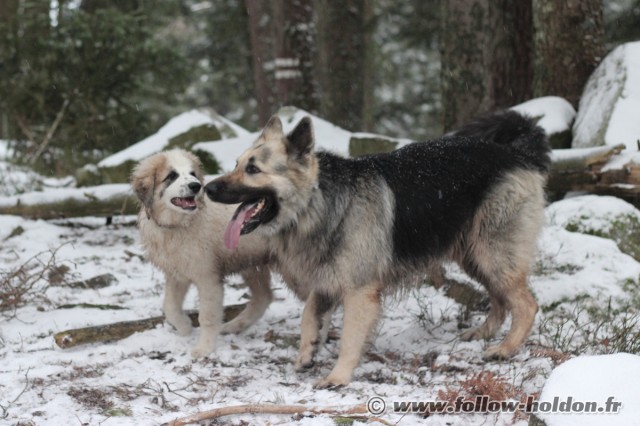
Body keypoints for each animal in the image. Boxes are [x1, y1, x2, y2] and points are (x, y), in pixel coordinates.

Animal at [131, 150, 272, 356]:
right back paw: (234, 326)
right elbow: (169, 306)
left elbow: (207, 315)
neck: (180, 225)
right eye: (171, 176)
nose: (196, 186)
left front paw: (204, 348)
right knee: (264, 298)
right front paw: (184, 327)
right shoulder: (177, 272)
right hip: (253, 264)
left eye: (193, 174)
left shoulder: (208, 277)